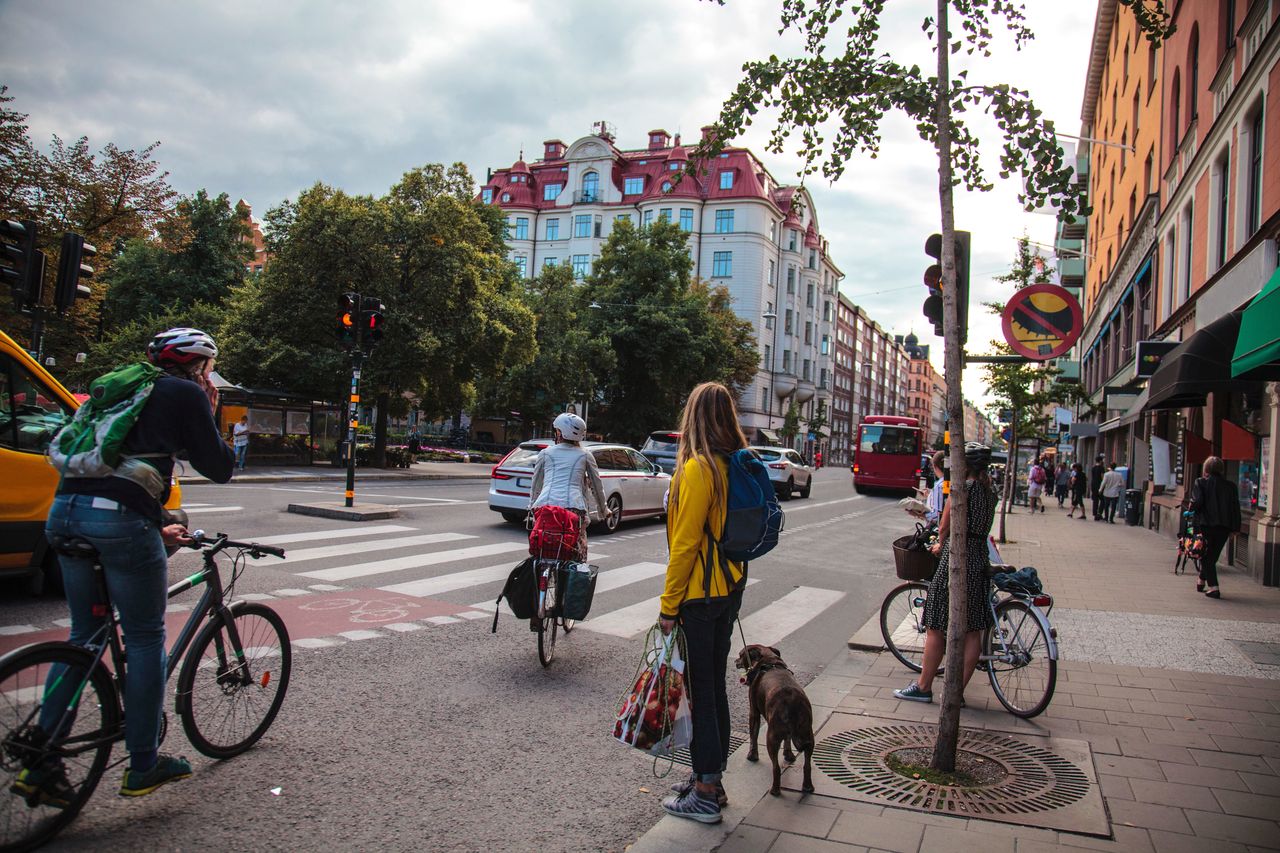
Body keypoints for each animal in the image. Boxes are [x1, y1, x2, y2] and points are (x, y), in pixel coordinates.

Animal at [737, 640, 814, 794]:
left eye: (741, 655)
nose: (735, 661)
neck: (769, 661)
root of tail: (792, 702)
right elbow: (788, 740)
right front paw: (788, 755)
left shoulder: (753, 712)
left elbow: (753, 736)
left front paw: (752, 755)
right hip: (808, 734)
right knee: (807, 765)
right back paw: (807, 787)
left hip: (771, 737)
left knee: (776, 767)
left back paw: (775, 790)